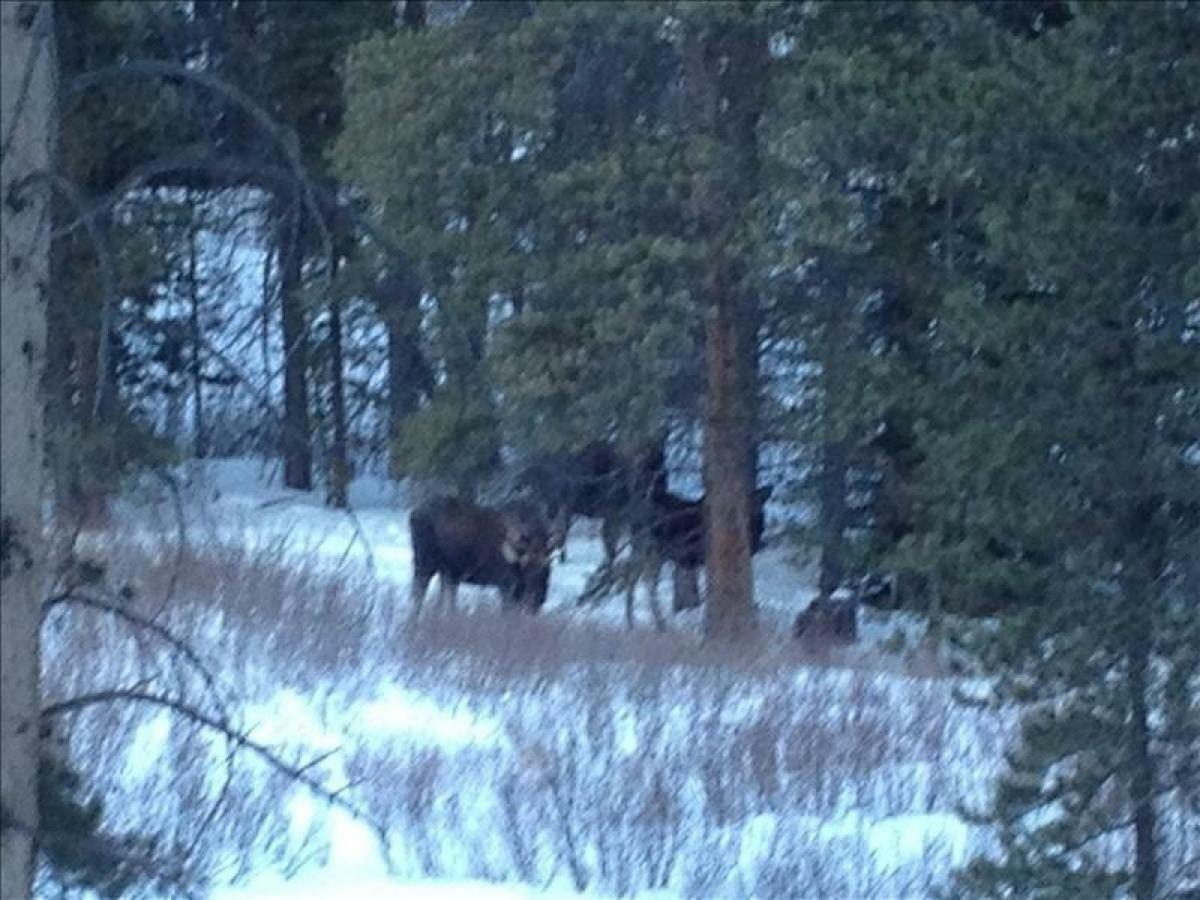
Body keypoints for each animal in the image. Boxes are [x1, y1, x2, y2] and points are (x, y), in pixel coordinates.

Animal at [408, 494, 556, 619]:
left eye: (546, 568)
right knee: (418, 594)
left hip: (446, 573)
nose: (538, 599)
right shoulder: (506, 587)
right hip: (424, 565)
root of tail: (413, 513)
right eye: (526, 567)